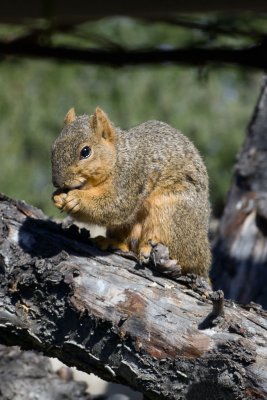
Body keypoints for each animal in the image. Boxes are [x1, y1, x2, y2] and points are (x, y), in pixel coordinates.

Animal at [51, 106, 211, 276]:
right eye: (53, 148)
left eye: (86, 151)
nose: (56, 182)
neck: (118, 158)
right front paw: (57, 197)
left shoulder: (130, 179)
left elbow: (113, 205)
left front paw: (76, 199)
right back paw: (111, 242)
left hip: (170, 213)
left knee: (182, 256)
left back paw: (149, 249)